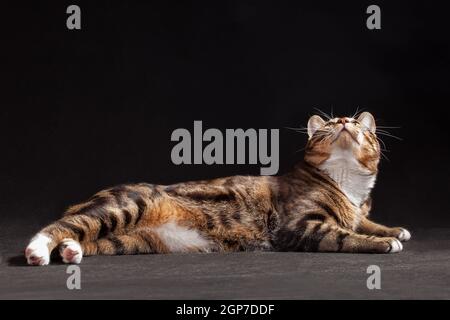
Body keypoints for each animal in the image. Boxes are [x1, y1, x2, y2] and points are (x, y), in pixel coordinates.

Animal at [24, 111, 412, 266]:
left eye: (355, 123)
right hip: (126, 204)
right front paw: (383, 242)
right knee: (61, 226)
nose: (345, 120)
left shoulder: (357, 209)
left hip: (131, 240)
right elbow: (345, 235)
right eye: (330, 123)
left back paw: (71, 251)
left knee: (89, 238)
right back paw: (39, 250)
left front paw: (394, 229)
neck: (346, 183)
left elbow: (363, 220)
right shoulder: (299, 225)